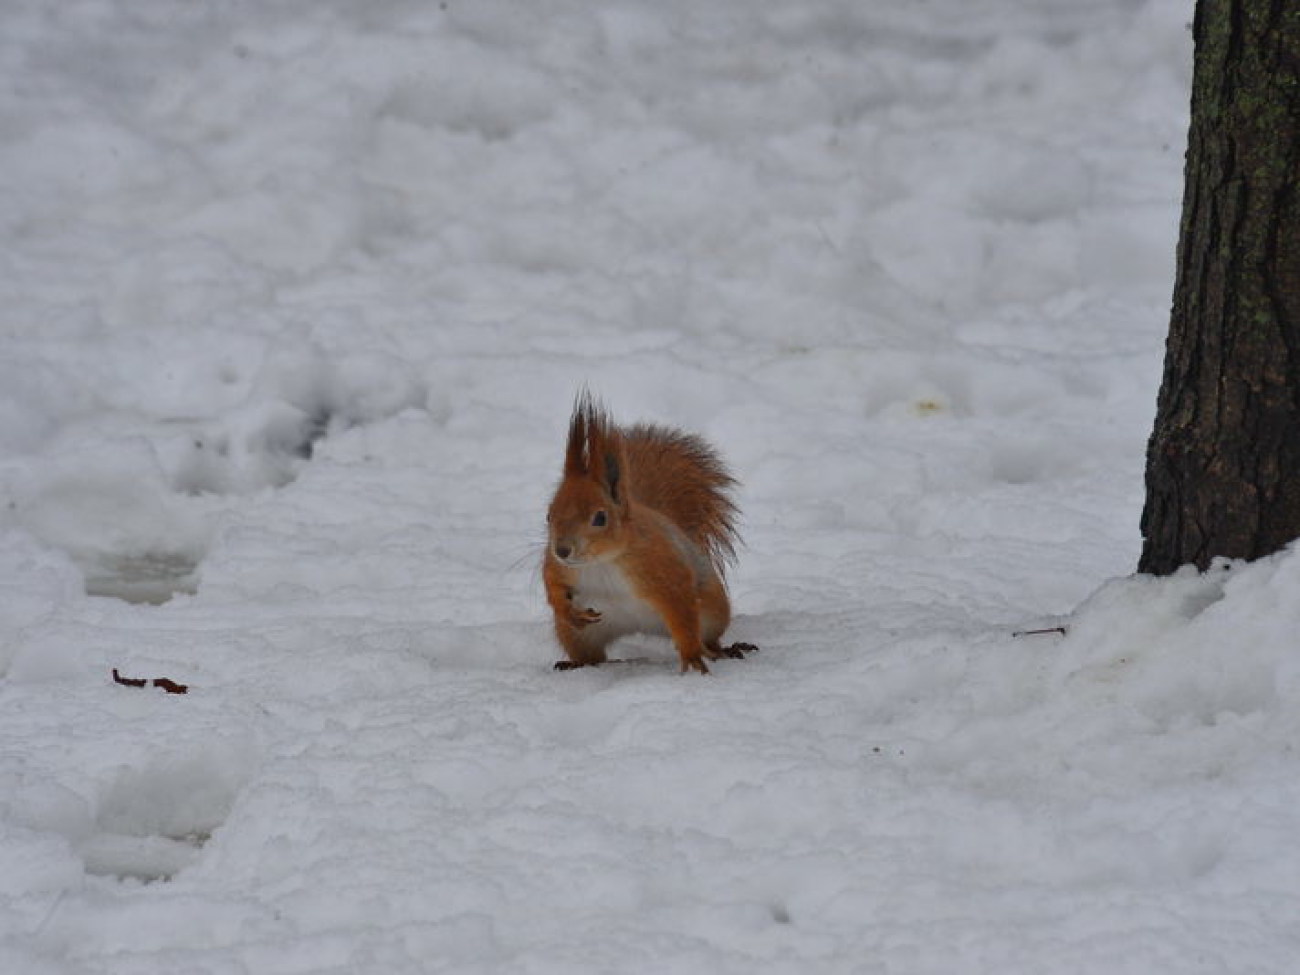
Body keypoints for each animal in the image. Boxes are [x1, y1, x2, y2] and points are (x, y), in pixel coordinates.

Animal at [540, 392, 759, 676]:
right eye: (548, 514)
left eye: (600, 518)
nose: (562, 550)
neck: (603, 561)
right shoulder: (559, 568)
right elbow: (552, 585)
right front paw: (570, 612)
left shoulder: (664, 571)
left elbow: (682, 614)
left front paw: (691, 658)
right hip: (577, 637)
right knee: (593, 656)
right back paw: (577, 663)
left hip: (713, 613)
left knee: (707, 637)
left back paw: (723, 650)